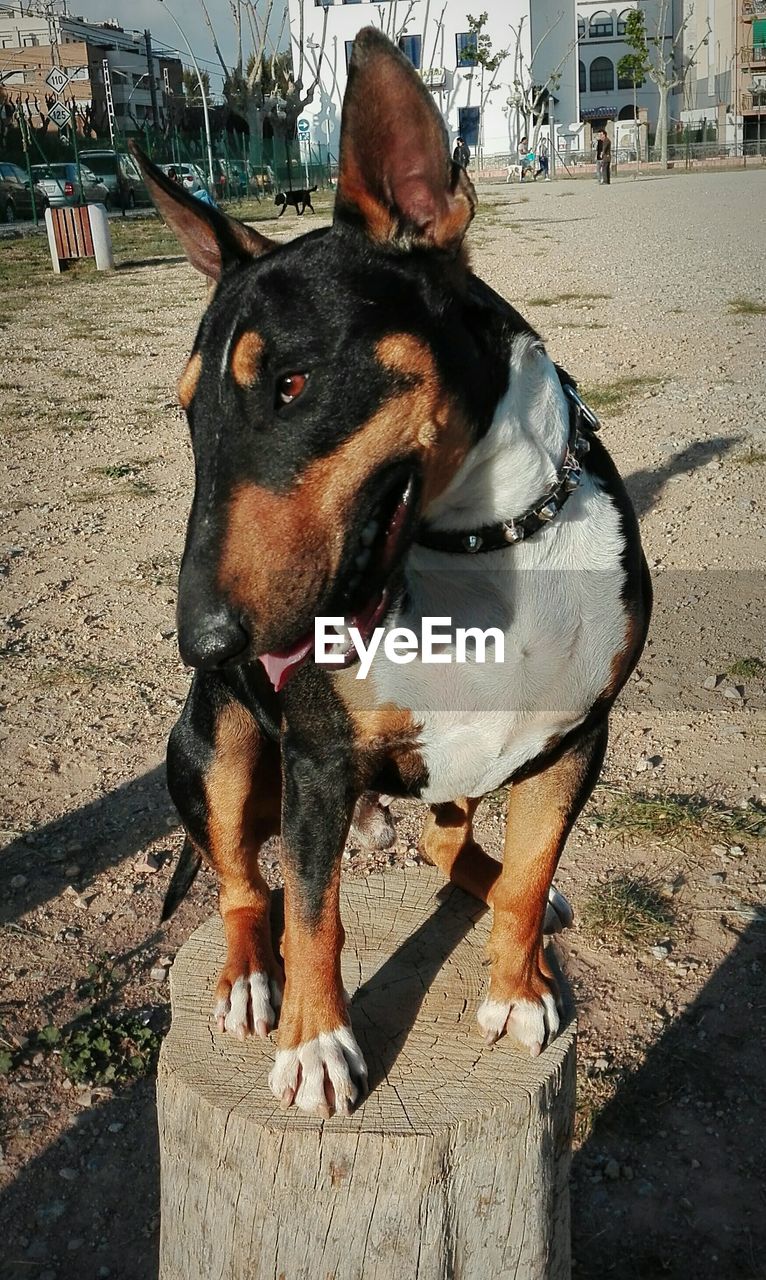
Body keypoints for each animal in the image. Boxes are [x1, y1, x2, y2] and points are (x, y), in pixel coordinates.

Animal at [129, 24, 650, 1116]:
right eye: (187, 410)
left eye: (290, 384)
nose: (204, 642)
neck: (481, 545)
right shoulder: (319, 756)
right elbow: (310, 910)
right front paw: (316, 1044)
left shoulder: (577, 734)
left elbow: (529, 870)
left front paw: (517, 991)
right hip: (216, 748)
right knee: (243, 880)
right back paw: (249, 979)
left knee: (447, 847)